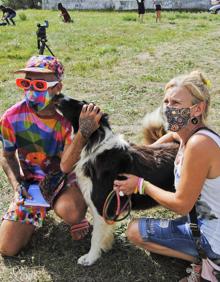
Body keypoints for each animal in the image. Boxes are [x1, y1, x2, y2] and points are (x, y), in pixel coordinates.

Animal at [53, 94, 179, 266]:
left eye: (80, 104)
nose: (57, 95)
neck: (95, 145)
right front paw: (105, 246)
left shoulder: (100, 205)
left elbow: (94, 236)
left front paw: (90, 257)